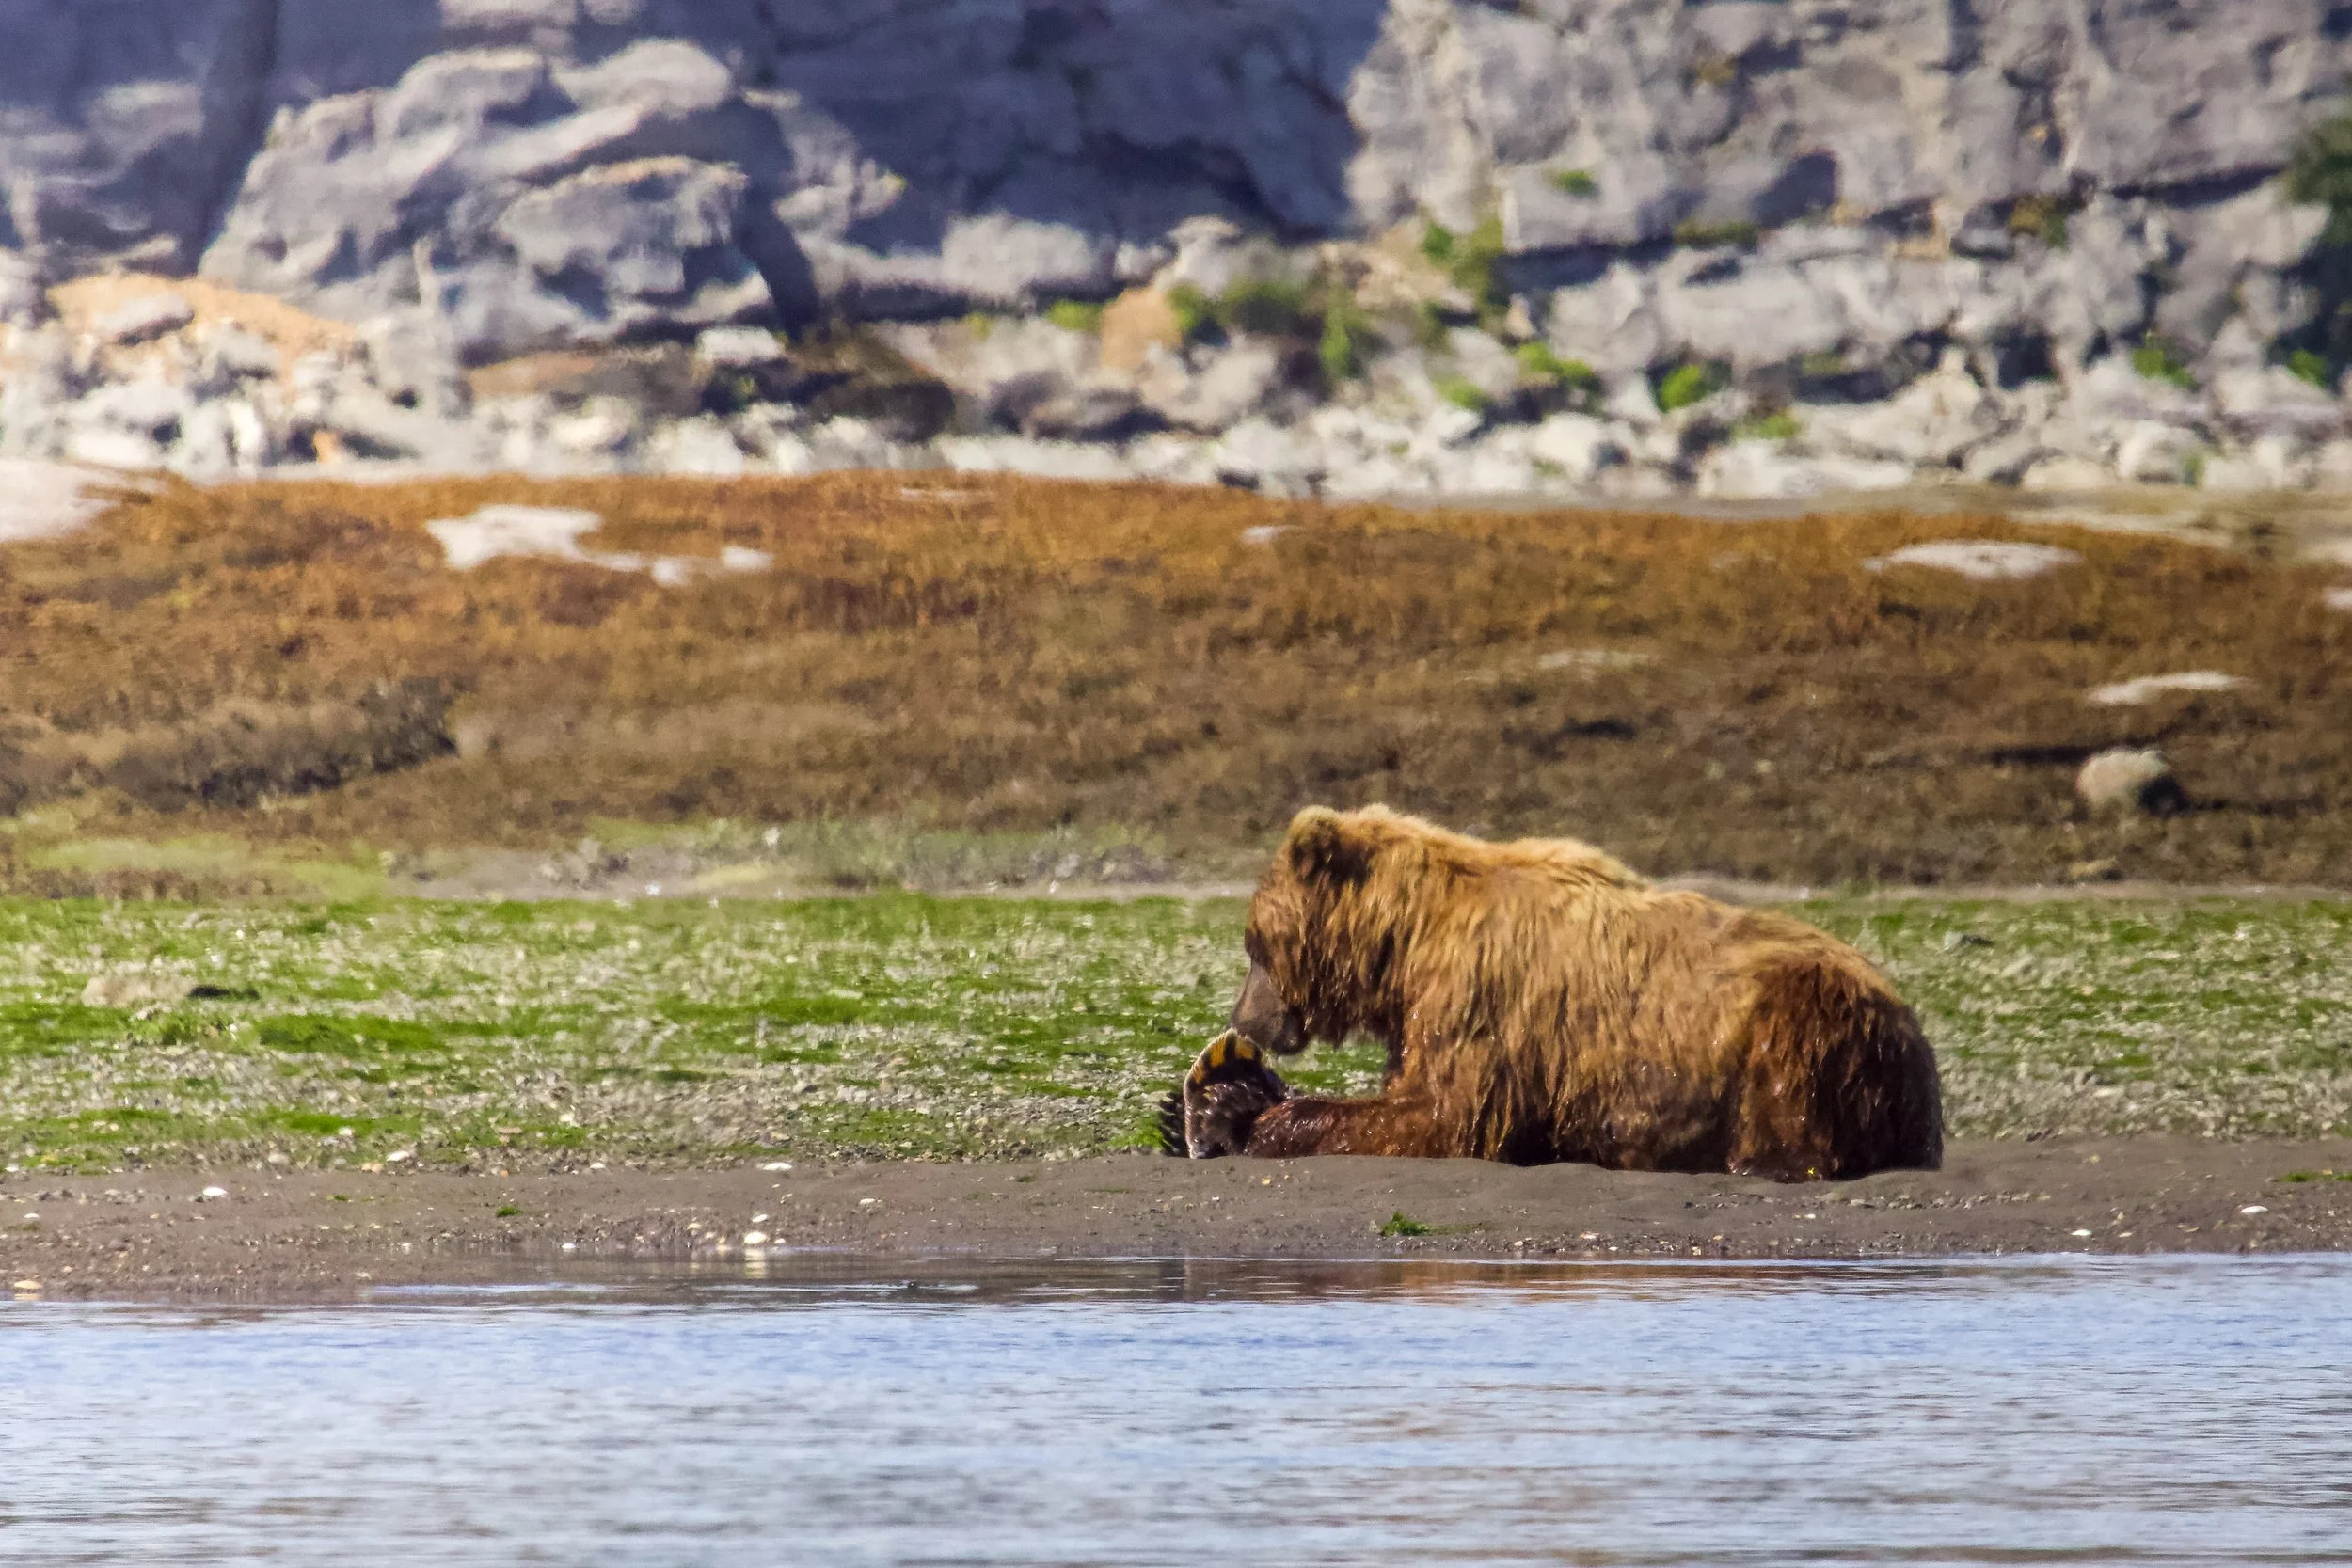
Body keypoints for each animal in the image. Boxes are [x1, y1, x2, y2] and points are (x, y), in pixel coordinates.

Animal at [1164, 806, 1942, 1180]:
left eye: (1254, 944)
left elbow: (1444, 1115)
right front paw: (1212, 1096)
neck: (1407, 938)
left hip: (1801, 1021)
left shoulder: (1478, 995)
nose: (1245, 1016)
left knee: (1789, 1106)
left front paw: (1249, 1117)